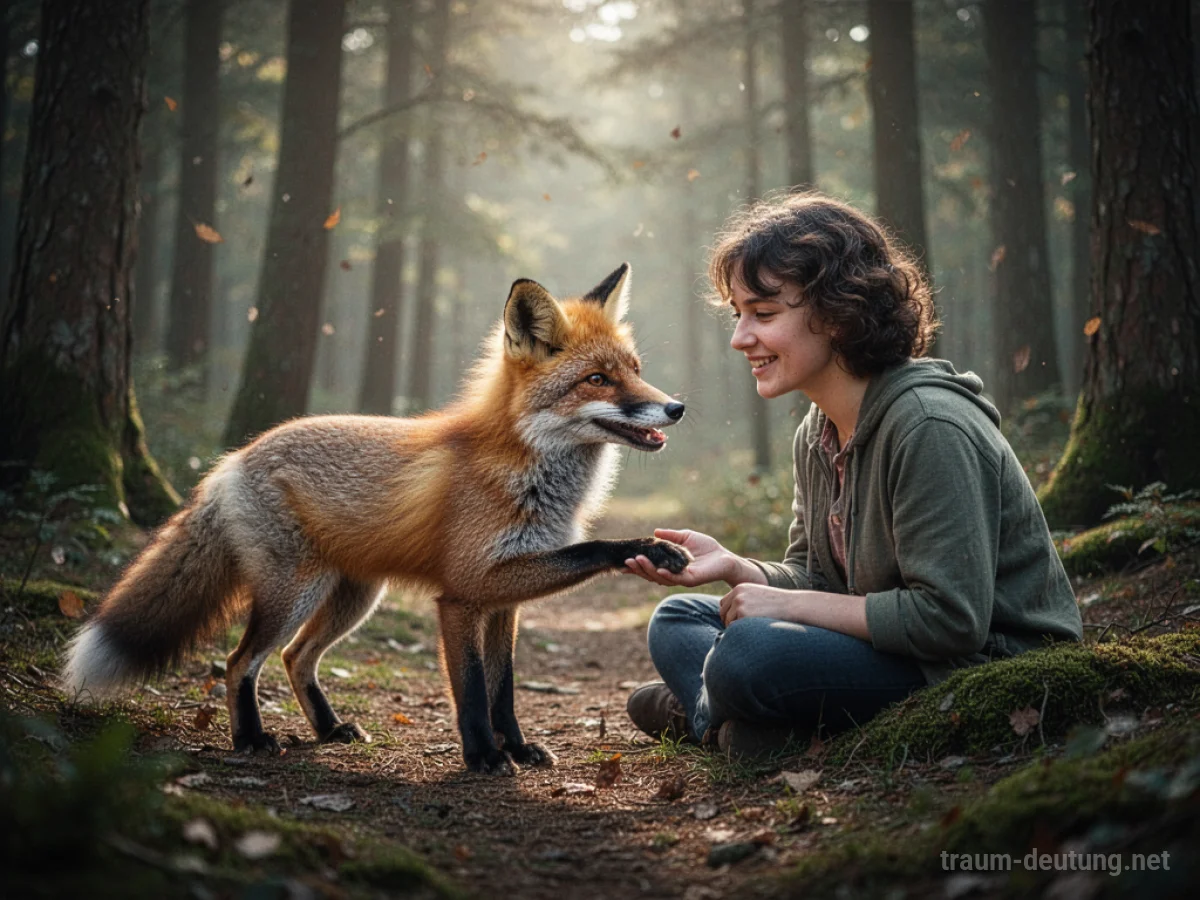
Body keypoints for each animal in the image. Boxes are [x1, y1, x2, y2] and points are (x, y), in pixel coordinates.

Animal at [62, 263, 690, 775]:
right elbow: (473, 690)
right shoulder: (463, 593)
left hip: (355, 597)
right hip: (294, 593)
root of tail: (234, 459)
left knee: (295, 658)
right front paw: (484, 756)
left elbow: (505, 691)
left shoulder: (504, 599)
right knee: (240, 662)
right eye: (597, 380)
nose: (677, 407)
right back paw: (251, 740)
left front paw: (515, 747)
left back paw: (329, 729)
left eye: (635, 369)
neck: (528, 471)